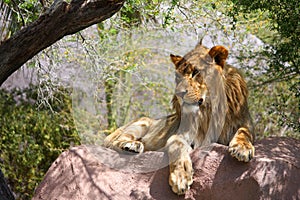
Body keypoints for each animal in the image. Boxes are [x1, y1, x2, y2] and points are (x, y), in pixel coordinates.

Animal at [104, 41, 254, 195]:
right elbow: (177, 146)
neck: (208, 110)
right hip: (142, 122)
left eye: (196, 72)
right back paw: (132, 145)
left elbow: (244, 132)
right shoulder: (182, 135)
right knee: (114, 142)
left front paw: (242, 148)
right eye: (178, 77)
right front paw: (181, 176)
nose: (179, 93)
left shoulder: (245, 123)